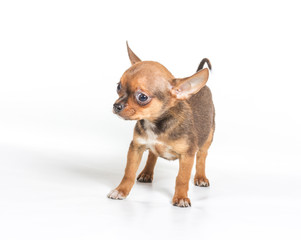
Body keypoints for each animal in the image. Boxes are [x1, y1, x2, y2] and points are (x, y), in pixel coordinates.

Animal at [106, 42, 214, 206]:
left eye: (142, 97)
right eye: (118, 86)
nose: (116, 106)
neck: (155, 124)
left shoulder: (187, 155)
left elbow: (182, 178)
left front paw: (181, 197)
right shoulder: (136, 147)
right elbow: (129, 172)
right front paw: (121, 190)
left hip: (208, 138)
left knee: (202, 157)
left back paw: (200, 177)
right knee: (152, 154)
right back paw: (146, 173)